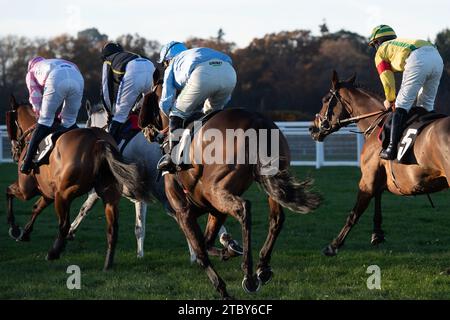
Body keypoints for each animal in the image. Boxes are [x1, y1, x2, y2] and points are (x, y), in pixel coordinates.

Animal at [4, 95, 148, 270]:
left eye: (9, 122)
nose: (14, 153)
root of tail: (98, 142)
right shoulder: (48, 193)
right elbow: (36, 208)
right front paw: (25, 233)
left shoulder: (27, 190)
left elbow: (8, 191)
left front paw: (14, 228)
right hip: (110, 195)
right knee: (112, 228)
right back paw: (108, 263)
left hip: (64, 195)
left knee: (64, 224)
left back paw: (54, 252)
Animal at [139, 81, 322, 298]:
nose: (145, 131)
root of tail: (257, 122)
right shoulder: (215, 211)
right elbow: (207, 242)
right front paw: (231, 247)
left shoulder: (183, 212)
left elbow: (200, 251)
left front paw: (222, 288)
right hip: (269, 183)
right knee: (276, 219)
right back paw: (262, 267)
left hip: (216, 189)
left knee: (243, 209)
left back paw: (249, 275)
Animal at [310, 71, 450, 256]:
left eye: (325, 99)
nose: (312, 129)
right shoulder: (377, 178)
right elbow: (377, 201)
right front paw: (377, 234)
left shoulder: (367, 180)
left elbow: (354, 214)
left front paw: (334, 245)